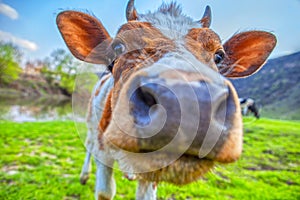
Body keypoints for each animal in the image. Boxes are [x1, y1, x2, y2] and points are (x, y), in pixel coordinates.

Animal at [56, 0, 276, 199]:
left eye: (219, 56)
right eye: (118, 48)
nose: (188, 102)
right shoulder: (103, 151)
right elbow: (105, 191)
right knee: (88, 144)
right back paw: (84, 175)